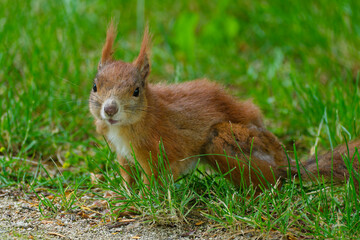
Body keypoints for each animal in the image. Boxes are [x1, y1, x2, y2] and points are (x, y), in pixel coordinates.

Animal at [88, 23, 358, 190]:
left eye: (136, 91)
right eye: (95, 86)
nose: (109, 110)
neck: (128, 126)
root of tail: (285, 163)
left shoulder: (157, 150)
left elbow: (153, 178)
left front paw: (146, 199)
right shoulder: (121, 152)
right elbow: (127, 175)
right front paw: (122, 194)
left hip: (227, 142)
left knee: (272, 181)